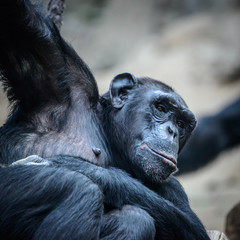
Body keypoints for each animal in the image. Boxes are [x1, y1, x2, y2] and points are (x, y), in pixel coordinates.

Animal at [0, 0, 210, 240]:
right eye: (161, 108)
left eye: (181, 124)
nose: (172, 131)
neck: (109, 138)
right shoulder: (62, 78)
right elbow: (27, 23)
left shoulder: (173, 188)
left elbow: (192, 228)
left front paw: (75, 165)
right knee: (80, 189)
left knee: (132, 217)